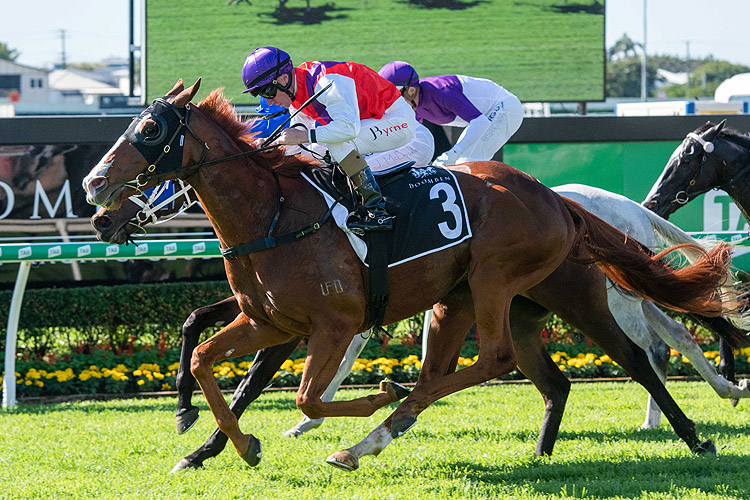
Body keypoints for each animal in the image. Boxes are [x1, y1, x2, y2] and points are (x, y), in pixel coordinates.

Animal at [85, 80, 744, 470]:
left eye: (149, 129)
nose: (94, 190)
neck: (275, 216)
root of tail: (557, 201)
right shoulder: (268, 321)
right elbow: (204, 356)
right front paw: (225, 441)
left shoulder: (328, 324)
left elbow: (302, 393)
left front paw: (366, 396)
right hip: (493, 302)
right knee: (552, 377)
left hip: (517, 286)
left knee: (588, 358)